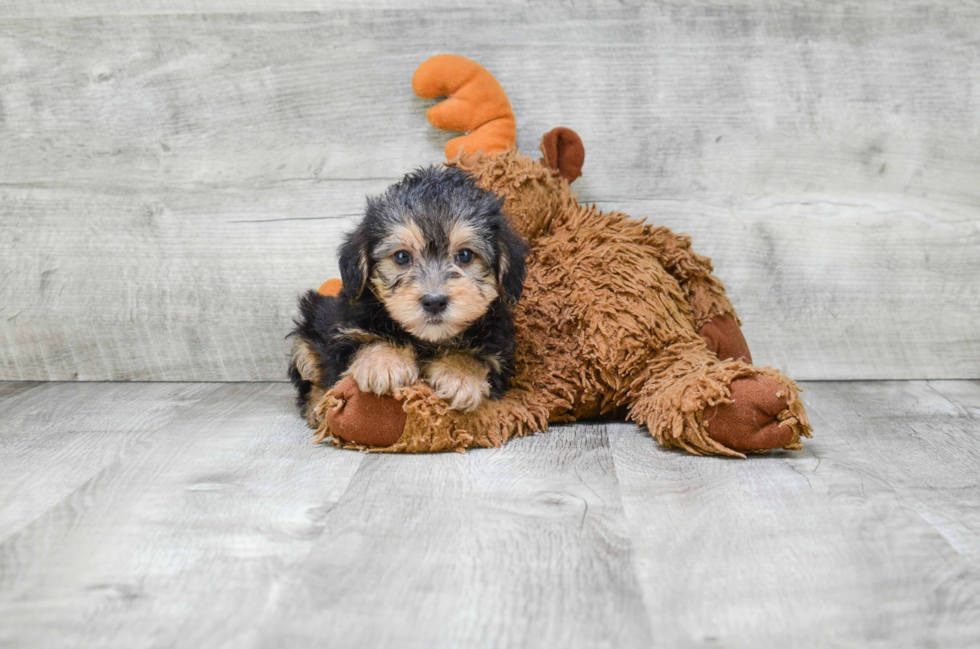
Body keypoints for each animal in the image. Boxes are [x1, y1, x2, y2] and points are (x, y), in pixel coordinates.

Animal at [288, 165, 528, 422]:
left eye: (465, 255)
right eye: (402, 257)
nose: (434, 301)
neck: (426, 340)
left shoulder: (499, 351)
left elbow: (479, 358)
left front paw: (460, 375)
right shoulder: (342, 334)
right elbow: (366, 342)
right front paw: (383, 362)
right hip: (310, 323)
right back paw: (318, 404)